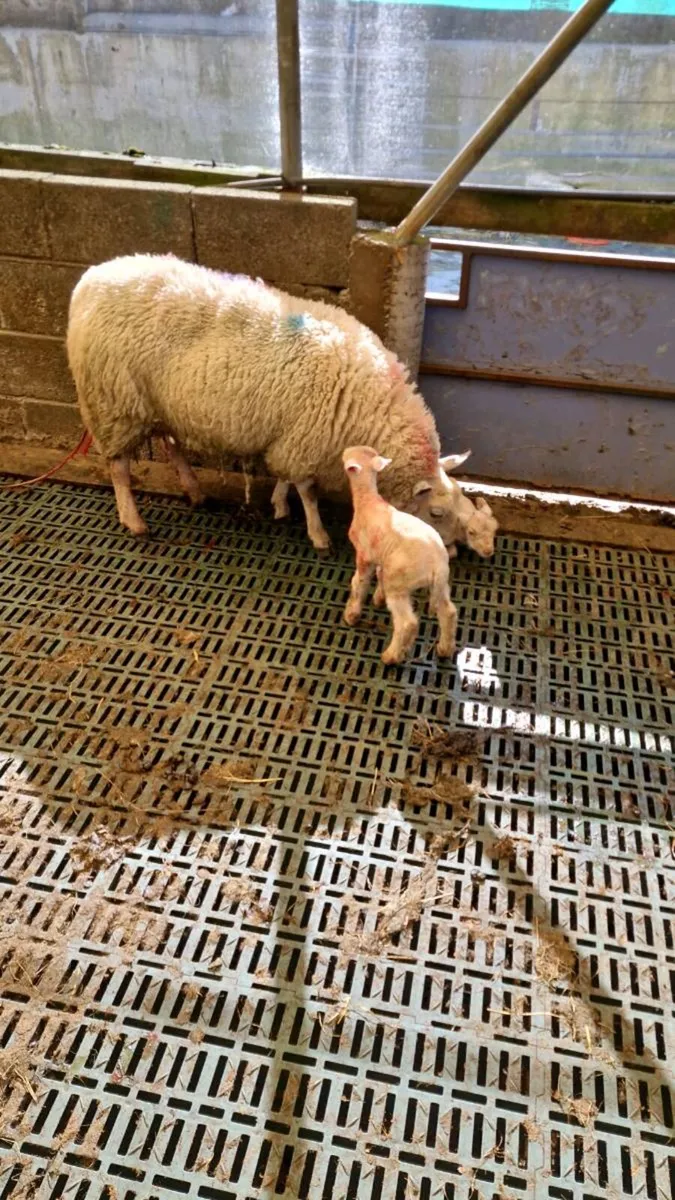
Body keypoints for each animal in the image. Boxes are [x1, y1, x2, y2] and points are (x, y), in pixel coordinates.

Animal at [66, 253, 496, 553]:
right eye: (436, 512)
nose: (453, 551)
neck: (367, 406)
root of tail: (88, 281)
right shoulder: (305, 437)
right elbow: (307, 490)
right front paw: (317, 534)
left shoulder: (292, 434)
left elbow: (286, 476)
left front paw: (277, 503)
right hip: (113, 403)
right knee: (119, 468)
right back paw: (133, 520)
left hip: (159, 403)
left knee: (171, 445)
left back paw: (194, 492)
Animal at [342, 445, 457, 665]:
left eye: (348, 457)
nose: (344, 451)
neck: (367, 500)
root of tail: (436, 564)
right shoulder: (381, 556)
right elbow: (378, 576)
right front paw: (378, 598)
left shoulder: (364, 555)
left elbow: (358, 583)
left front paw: (351, 614)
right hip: (440, 584)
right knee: (448, 612)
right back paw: (444, 649)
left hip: (398, 582)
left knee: (407, 623)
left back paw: (391, 656)